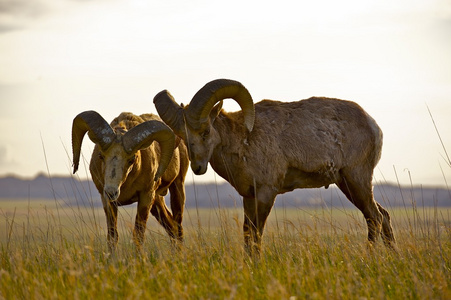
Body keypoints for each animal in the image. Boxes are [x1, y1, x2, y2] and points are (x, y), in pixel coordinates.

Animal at [71, 111, 191, 252]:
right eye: (101, 156)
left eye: (132, 159)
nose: (111, 192)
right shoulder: (107, 201)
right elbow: (112, 237)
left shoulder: (145, 197)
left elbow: (138, 235)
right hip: (157, 202)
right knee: (171, 226)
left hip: (176, 187)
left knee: (178, 227)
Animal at [154, 78, 396, 254]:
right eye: (184, 136)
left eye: (205, 132)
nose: (198, 167)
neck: (243, 140)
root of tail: (373, 126)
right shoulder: (249, 196)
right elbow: (247, 235)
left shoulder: (266, 193)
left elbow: (256, 235)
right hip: (348, 184)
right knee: (382, 216)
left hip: (356, 180)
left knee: (374, 218)